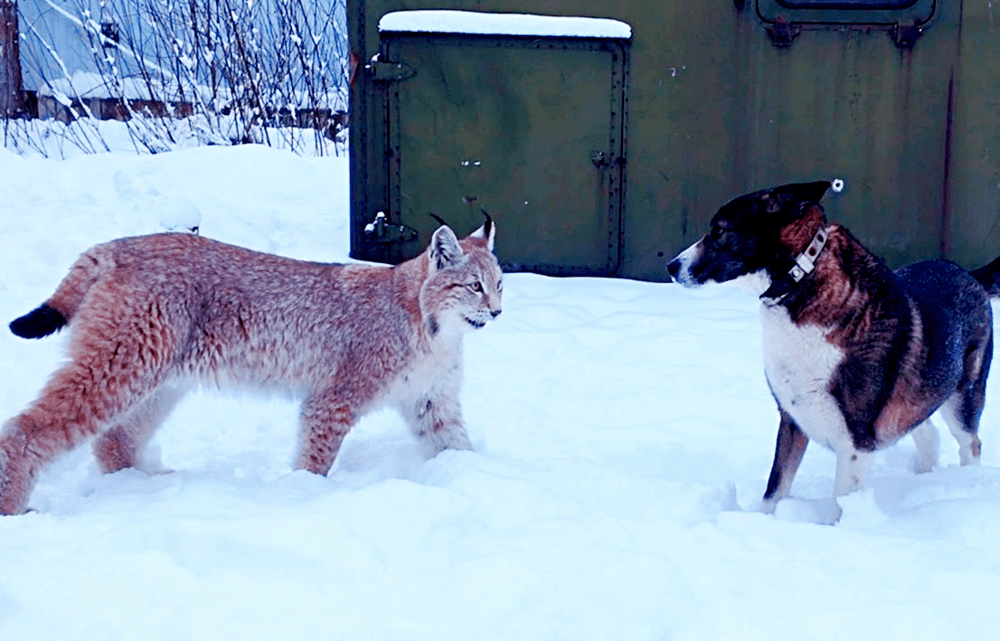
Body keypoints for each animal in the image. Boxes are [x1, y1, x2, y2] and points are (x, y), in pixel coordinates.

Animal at [668, 182, 1000, 512]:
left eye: (719, 231)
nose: (671, 266)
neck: (801, 280)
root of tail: (966, 273)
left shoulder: (856, 440)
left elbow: (841, 502)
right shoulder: (791, 418)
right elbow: (775, 488)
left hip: (963, 395)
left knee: (970, 442)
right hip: (918, 394)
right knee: (928, 432)